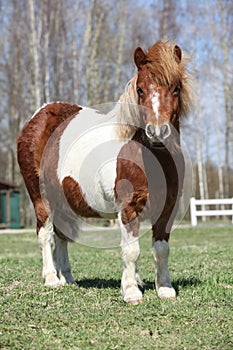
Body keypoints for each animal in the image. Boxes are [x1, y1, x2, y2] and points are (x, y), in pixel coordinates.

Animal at [16, 40, 191, 304]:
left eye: (176, 88)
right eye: (140, 90)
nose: (157, 132)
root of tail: (38, 116)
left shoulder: (167, 207)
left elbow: (161, 249)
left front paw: (165, 288)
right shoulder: (128, 206)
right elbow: (131, 250)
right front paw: (131, 291)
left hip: (63, 201)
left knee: (61, 236)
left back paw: (68, 278)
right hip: (40, 196)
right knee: (45, 233)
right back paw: (51, 279)